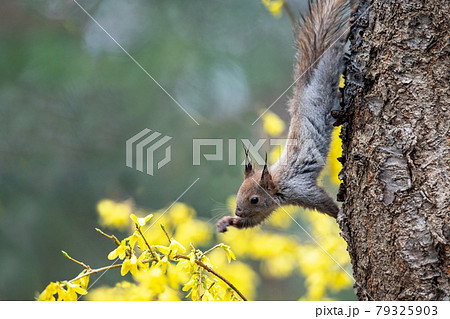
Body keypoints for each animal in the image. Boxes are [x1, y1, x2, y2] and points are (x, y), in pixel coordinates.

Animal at [217, 0, 352, 235]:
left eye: (254, 199)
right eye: (239, 192)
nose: (238, 212)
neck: (277, 185)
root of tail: (303, 89)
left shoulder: (299, 188)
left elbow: (324, 202)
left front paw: (340, 217)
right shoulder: (270, 207)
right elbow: (254, 222)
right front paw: (227, 222)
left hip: (324, 82)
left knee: (331, 57)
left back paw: (345, 34)